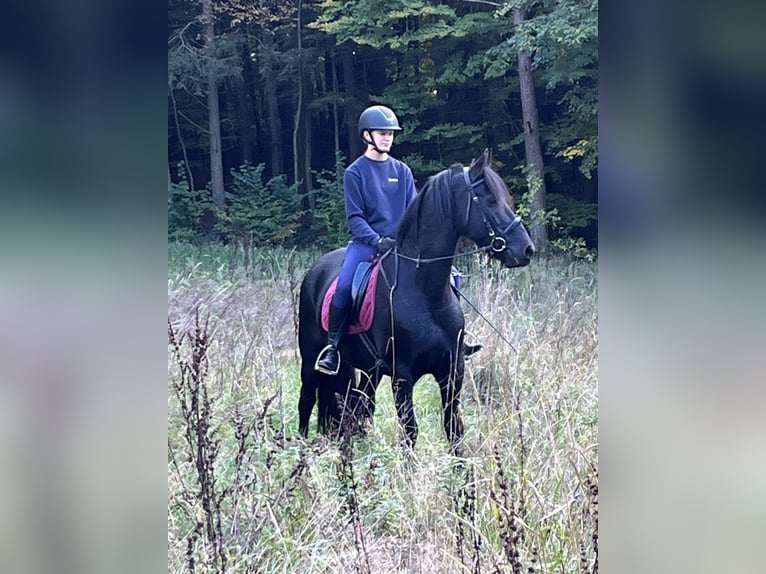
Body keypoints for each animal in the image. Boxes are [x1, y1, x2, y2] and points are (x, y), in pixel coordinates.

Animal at [297, 149, 535, 453]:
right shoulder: (403, 377)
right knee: (307, 401)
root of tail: (316, 270)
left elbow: (454, 428)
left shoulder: (452, 372)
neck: (426, 294)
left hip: (369, 370)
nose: (526, 250)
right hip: (311, 359)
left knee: (360, 406)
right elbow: (409, 432)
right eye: (491, 200)